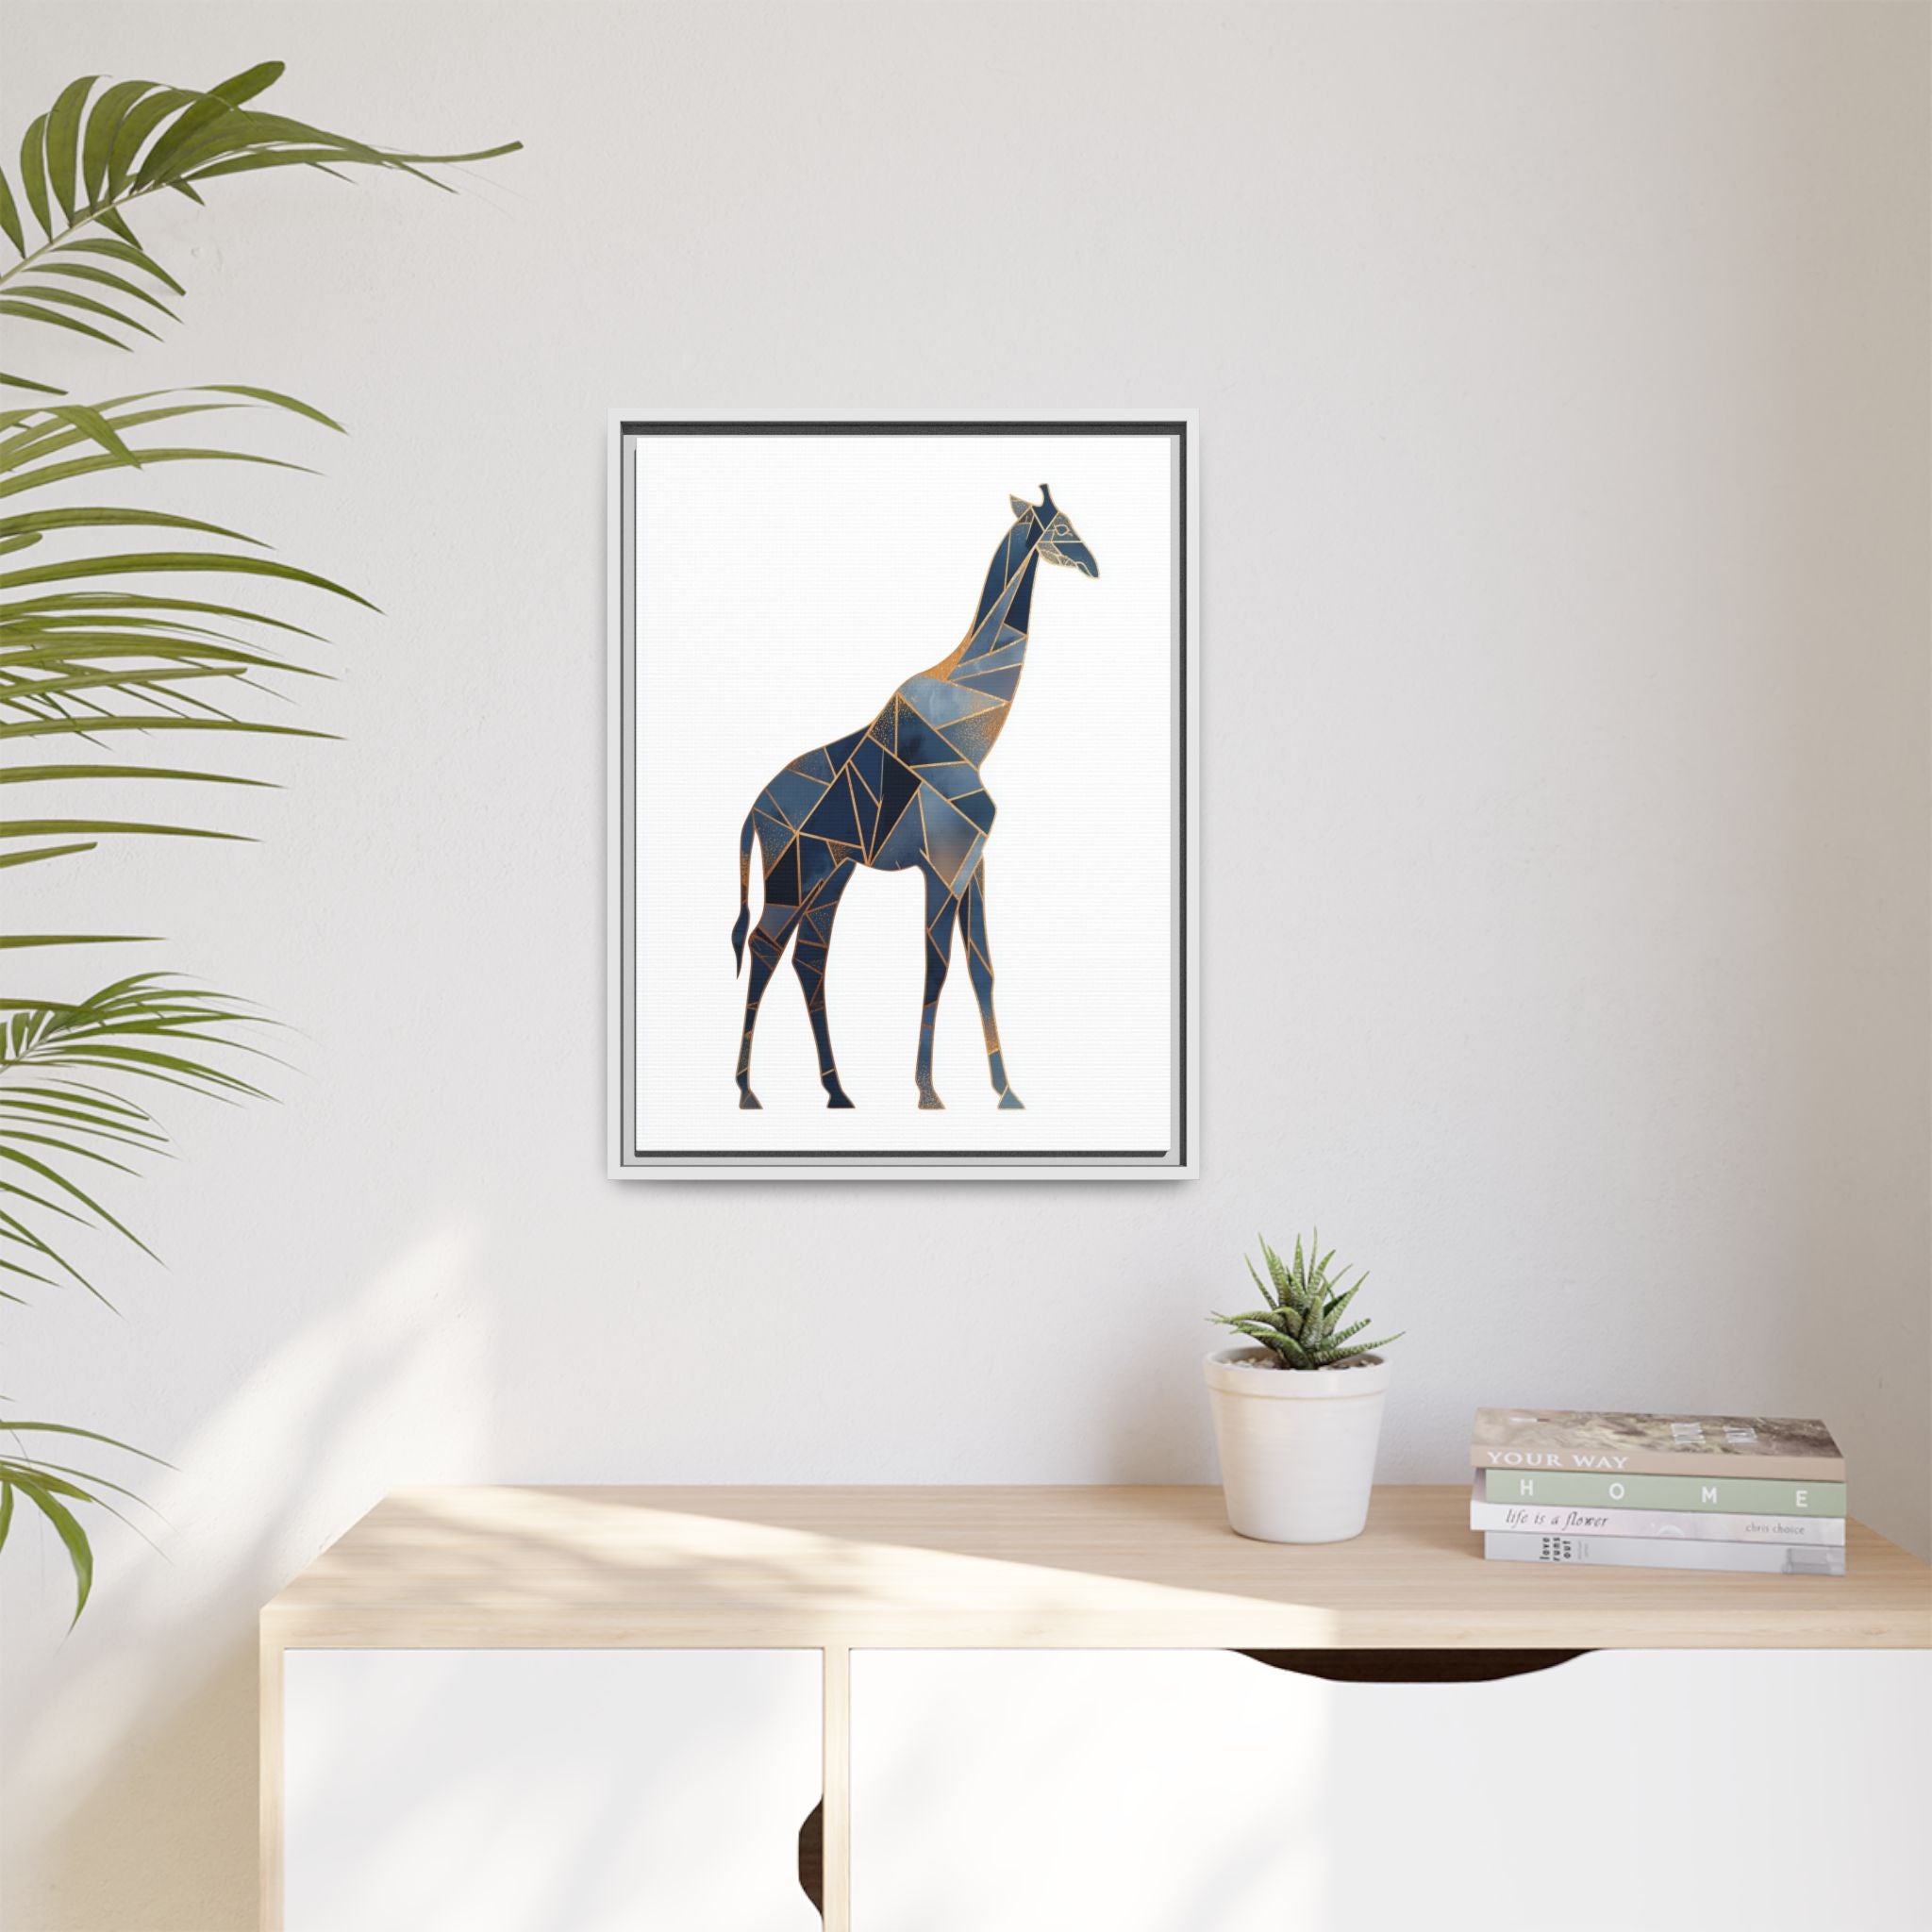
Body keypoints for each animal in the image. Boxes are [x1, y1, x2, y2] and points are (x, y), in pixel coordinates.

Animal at [730, 487, 1099, 1111]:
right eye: (1061, 526)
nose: (1092, 564)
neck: (973, 729)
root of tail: (754, 812)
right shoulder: (943, 864)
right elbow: (938, 967)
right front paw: (928, 1093)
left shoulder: (972, 863)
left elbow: (981, 967)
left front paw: (1006, 1092)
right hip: (792, 874)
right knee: (763, 947)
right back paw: (748, 1092)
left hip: (830, 876)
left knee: (809, 958)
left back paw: (837, 1091)